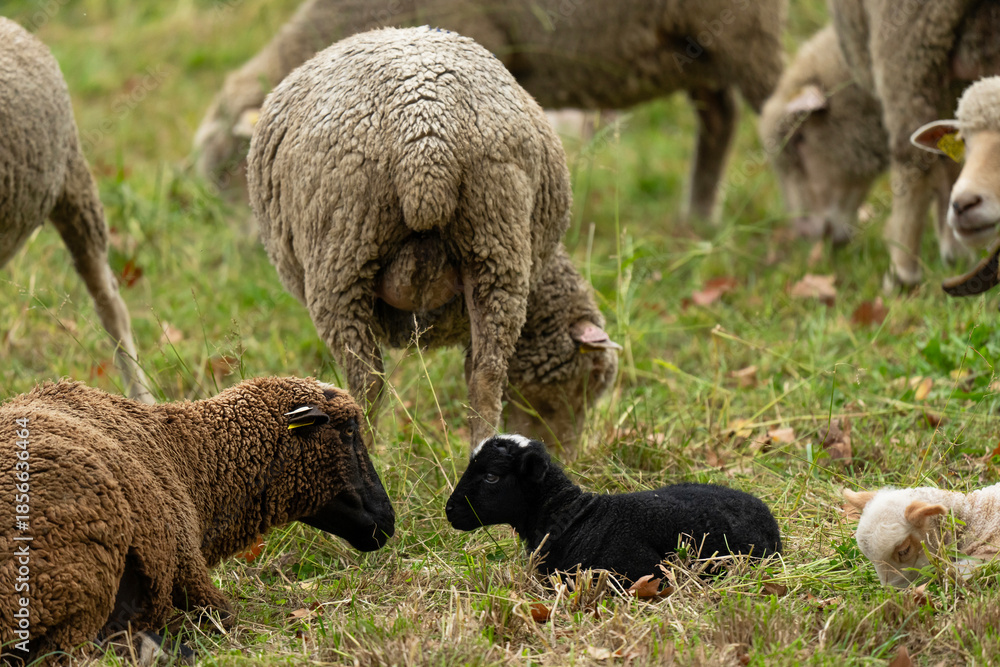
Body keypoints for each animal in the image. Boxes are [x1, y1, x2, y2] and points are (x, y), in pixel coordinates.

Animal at [0, 377, 395, 663]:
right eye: (348, 430)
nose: (387, 521)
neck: (189, 456)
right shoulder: (189, 570)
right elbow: (225, 616)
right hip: (79, 585)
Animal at [247, 27, 620, 450]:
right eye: (589, 382)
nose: (561, 455)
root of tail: (426, 135)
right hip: (496, 240)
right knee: (486, 378)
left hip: (341, 254)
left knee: (367, 384)